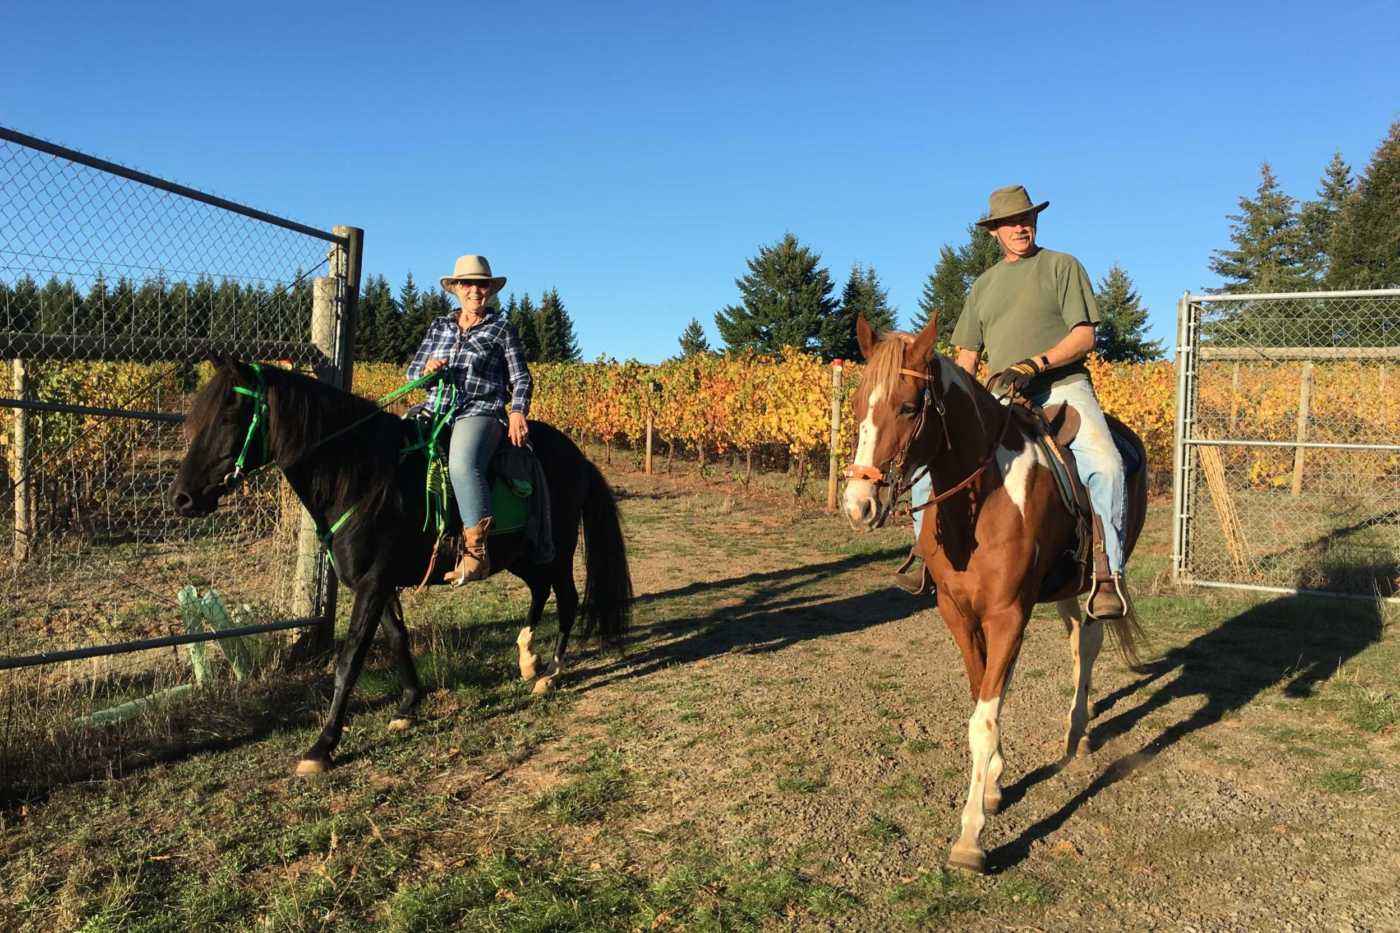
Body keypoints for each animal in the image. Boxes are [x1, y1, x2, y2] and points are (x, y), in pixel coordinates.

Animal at [172, 358, 632, 773]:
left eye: (229, 416)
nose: (181, 498)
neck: (363, 478)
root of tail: (579, 458)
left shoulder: (373, 583)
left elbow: (350, 660)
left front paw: (322, 747)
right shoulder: (380, 582)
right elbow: (397, 639)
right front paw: (409, 706)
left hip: (556, 549)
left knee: (567, 599)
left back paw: (549, 673)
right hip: (520, 553)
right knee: (540, 590)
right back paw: (527, 659)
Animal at [834, 318, 1142, 874]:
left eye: (908, 407)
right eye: (858, 404)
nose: (859, 504)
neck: (986, 502)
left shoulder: (1007, 614)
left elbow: (983, 719)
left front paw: (970, 837)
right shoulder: (960, 614)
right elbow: (985, 701)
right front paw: (994, 784)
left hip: (1094, 583)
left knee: (1087, 645)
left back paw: (1079, 732)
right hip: (1060, 590)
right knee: (1067, 645)